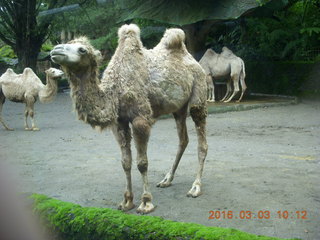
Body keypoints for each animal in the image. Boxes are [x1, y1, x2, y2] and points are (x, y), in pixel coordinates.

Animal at [50, 23, 209, 213]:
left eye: (82, 50)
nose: (55, 50)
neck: (115, 92)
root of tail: (192, 59)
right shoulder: (119, 122)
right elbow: (125, 162)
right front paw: (127, 201)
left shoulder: (140, 119)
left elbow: (142, 163)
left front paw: (146, 202)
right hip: (178, 108)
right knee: (183, 139)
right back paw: (166, 180)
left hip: (198, 93)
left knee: (201, 141)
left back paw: (195, 187)